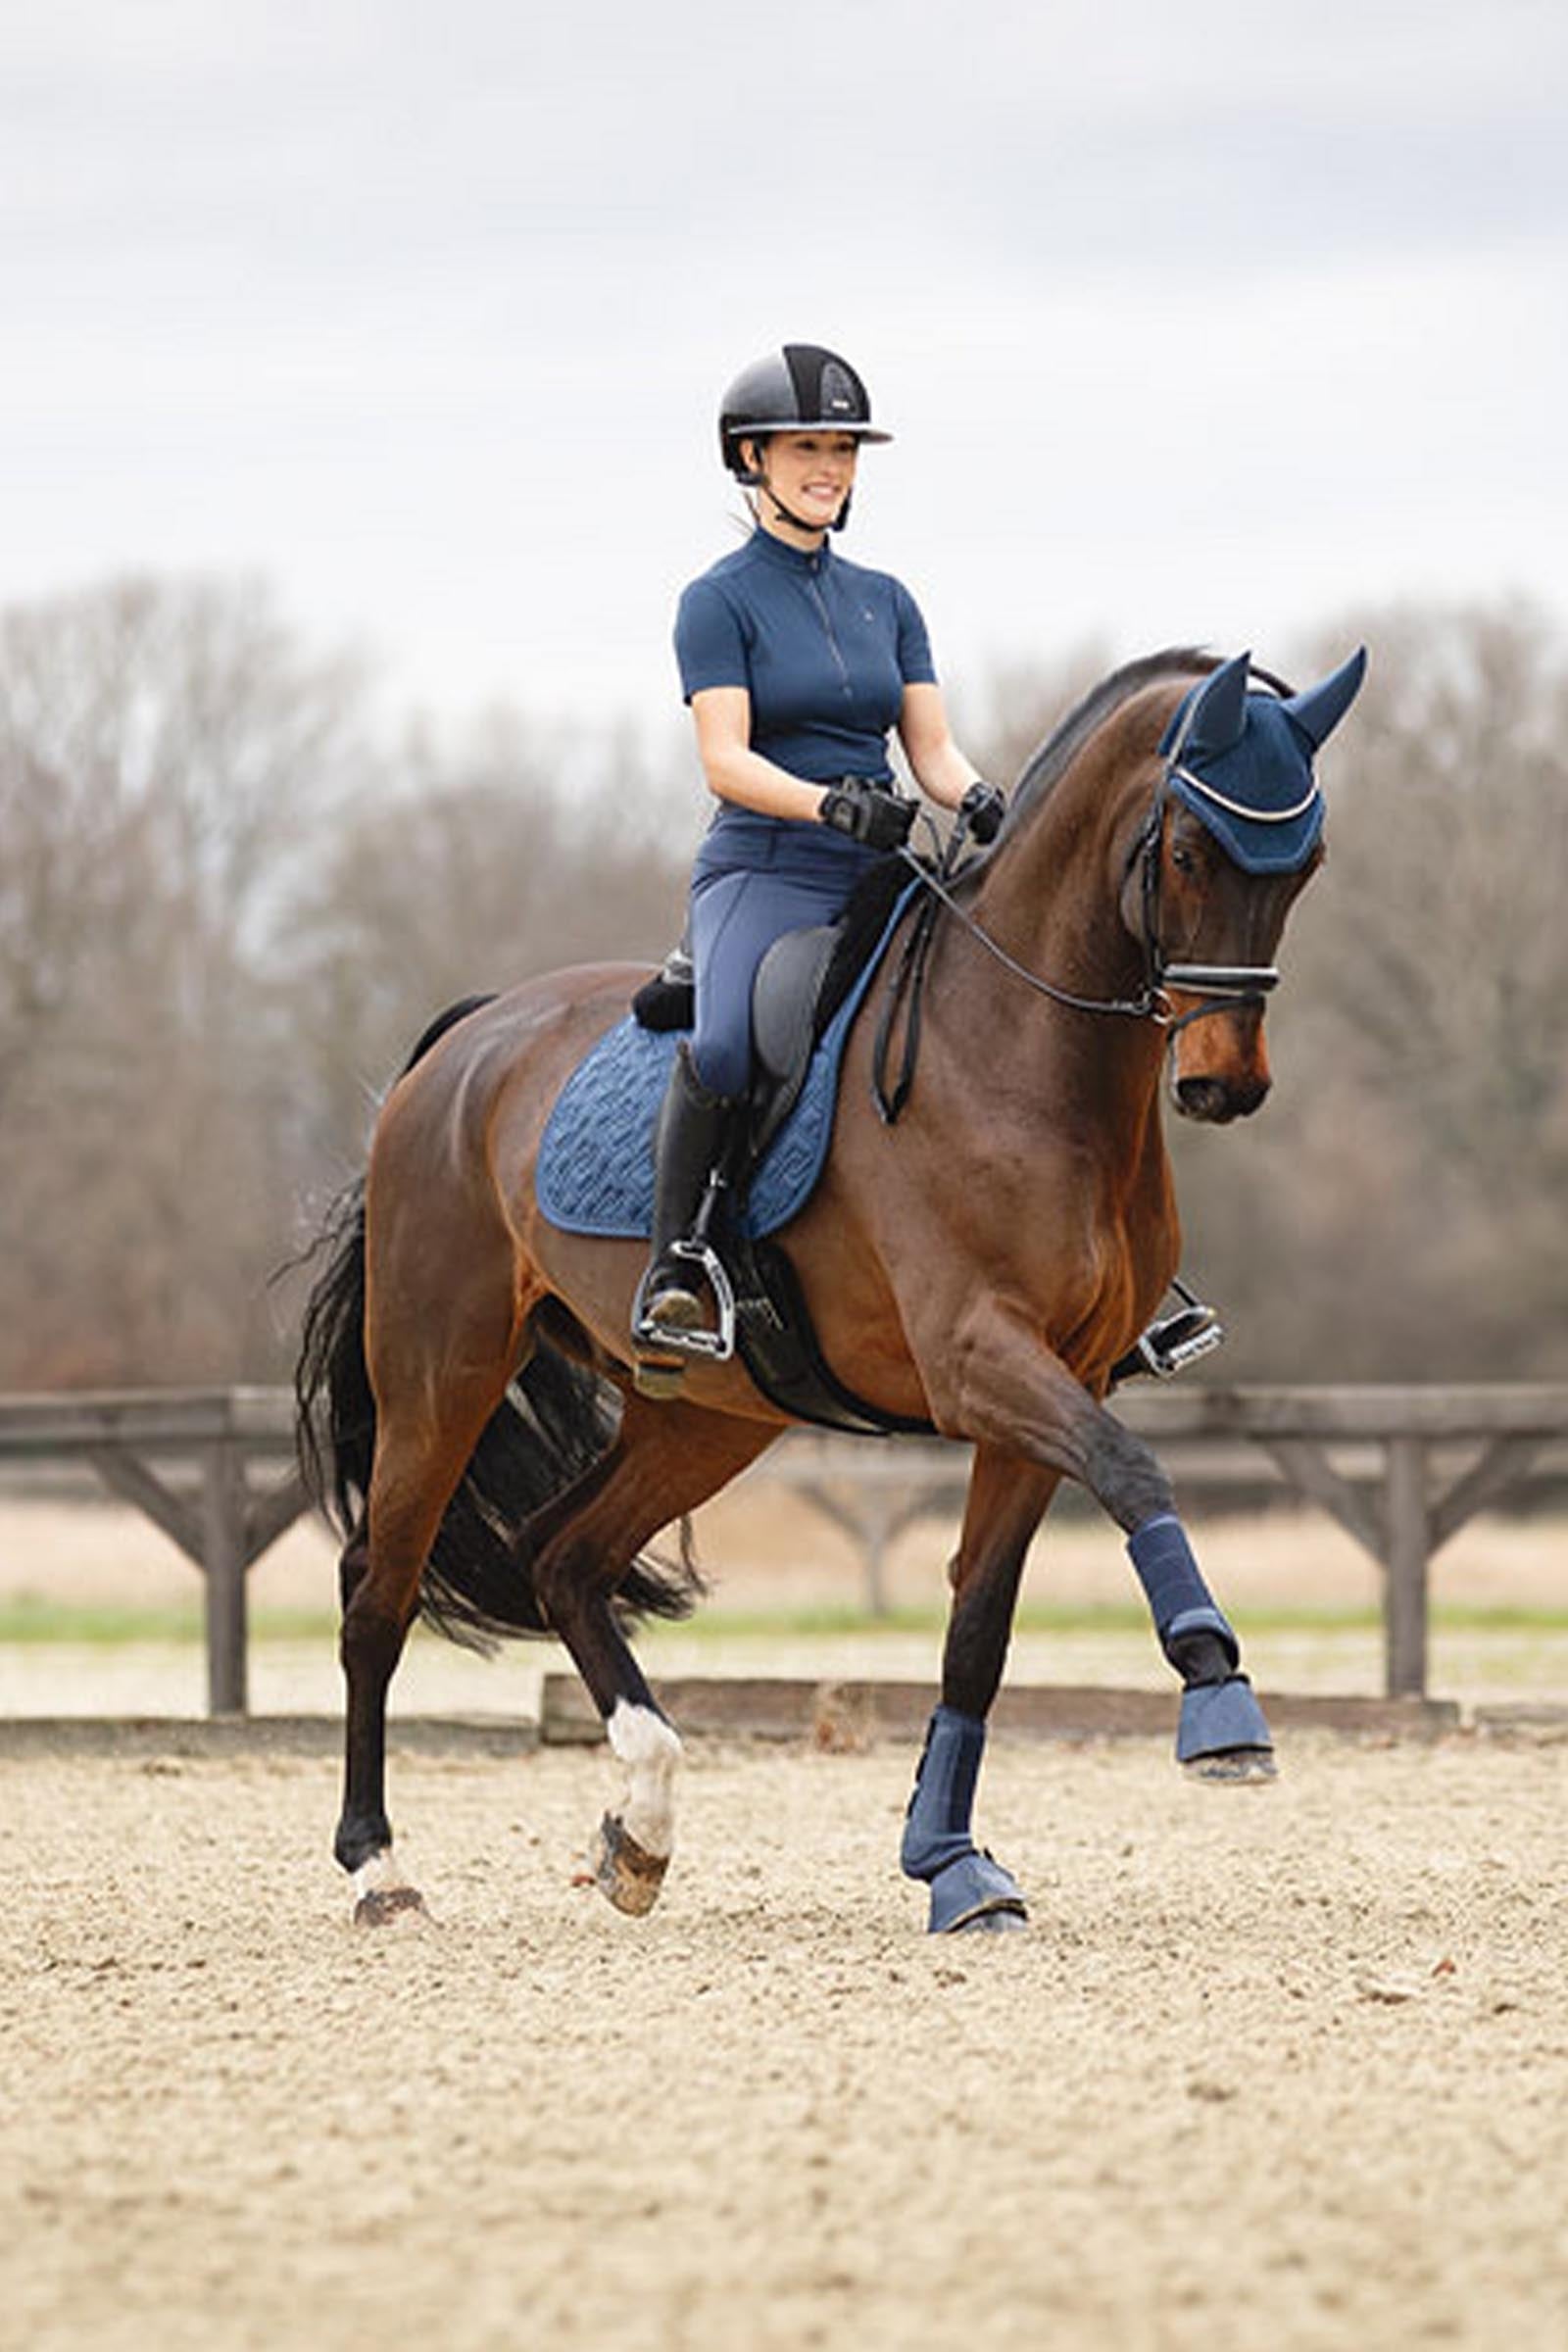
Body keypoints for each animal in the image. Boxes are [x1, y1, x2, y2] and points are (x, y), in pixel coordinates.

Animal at [295, 641, 1367, 1935]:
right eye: (1187, 852)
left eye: (1305, 862)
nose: (1223, 1084)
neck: (1020, 1056)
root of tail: (459, 1046)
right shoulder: (976, 1360)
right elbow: (1132, 1473)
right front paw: (1219, 1698)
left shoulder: (1051, 1384)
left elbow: (977, 1632)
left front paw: (950, 1864)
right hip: (440, 1374)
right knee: (379, 1594)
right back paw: (377, 1868)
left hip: (705, 1416)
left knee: (563, 1556)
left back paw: (639, 1828)